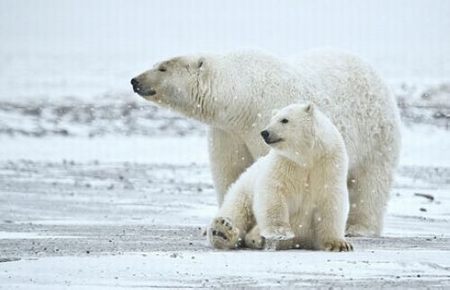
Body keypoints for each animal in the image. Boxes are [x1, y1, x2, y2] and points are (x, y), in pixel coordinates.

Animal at [130, 49, 400, 236]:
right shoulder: (228, 132)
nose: (135, 80)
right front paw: (219, 223)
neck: (242, 98)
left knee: (370, 182)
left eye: (163, 68)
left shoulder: (266, 120)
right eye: (156, 64)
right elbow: (231, 172)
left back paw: (358, 227)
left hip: (375, 134)